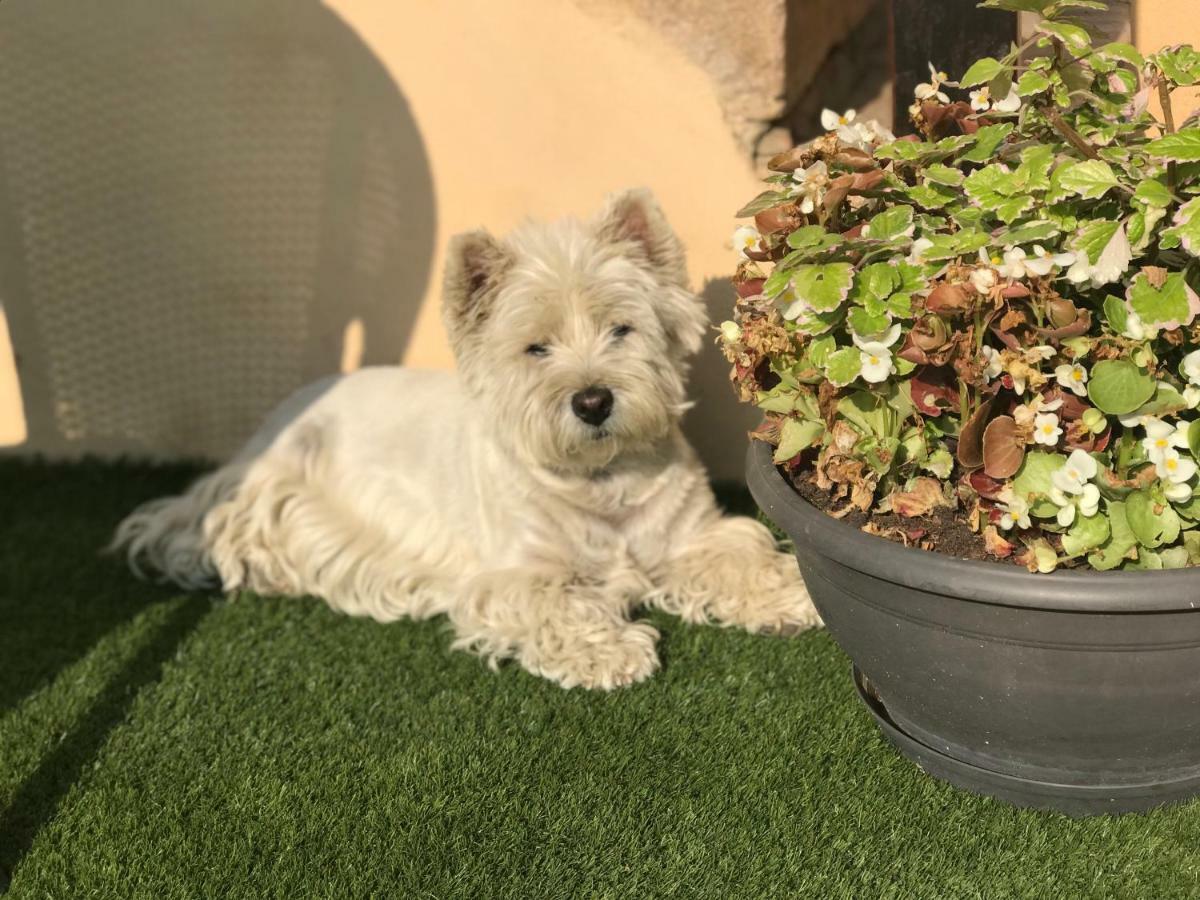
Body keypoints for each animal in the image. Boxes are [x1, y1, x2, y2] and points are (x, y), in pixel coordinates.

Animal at [112, 190, 820, 691]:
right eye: (536, 348)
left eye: (621, 329)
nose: (592, 400)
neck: (601, 483)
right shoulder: (514, 573)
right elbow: (555, 603)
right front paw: (612, 652)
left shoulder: (689, 534)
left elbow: (738, 553)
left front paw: (789, 593)